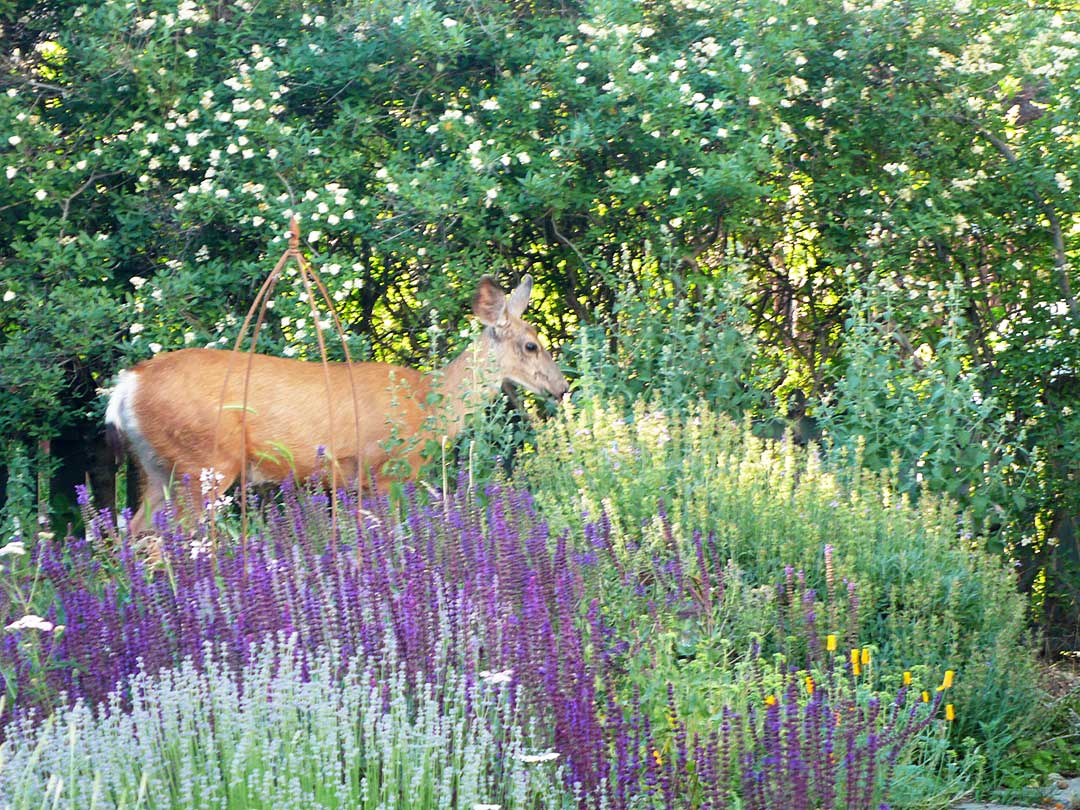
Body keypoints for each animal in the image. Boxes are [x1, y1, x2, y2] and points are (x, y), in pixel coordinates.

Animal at [105, 274, 570, 540]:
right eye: (531, 345)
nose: (562, 386)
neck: (429, 404)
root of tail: (128, 385)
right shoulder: (388, 470)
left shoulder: (356, 482)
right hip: (205, 462)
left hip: (158, 468)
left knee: (136, 534)